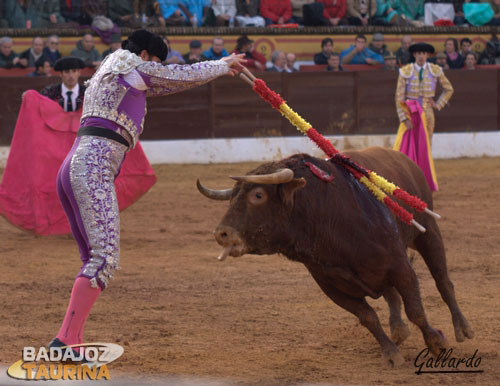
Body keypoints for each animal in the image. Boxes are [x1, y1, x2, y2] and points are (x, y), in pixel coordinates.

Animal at [196, 147, 472, 364]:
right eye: (232, 197)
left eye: (258, 195)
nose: (221, 233)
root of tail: (403, 158)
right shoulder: (330, 285)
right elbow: (368, 317)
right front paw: (391, 354)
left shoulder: (400, 267)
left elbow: (415, 309)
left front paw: (436, 343)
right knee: (392, 295)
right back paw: (398, 329)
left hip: (428, 231)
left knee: (443, 281)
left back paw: (463, 328)